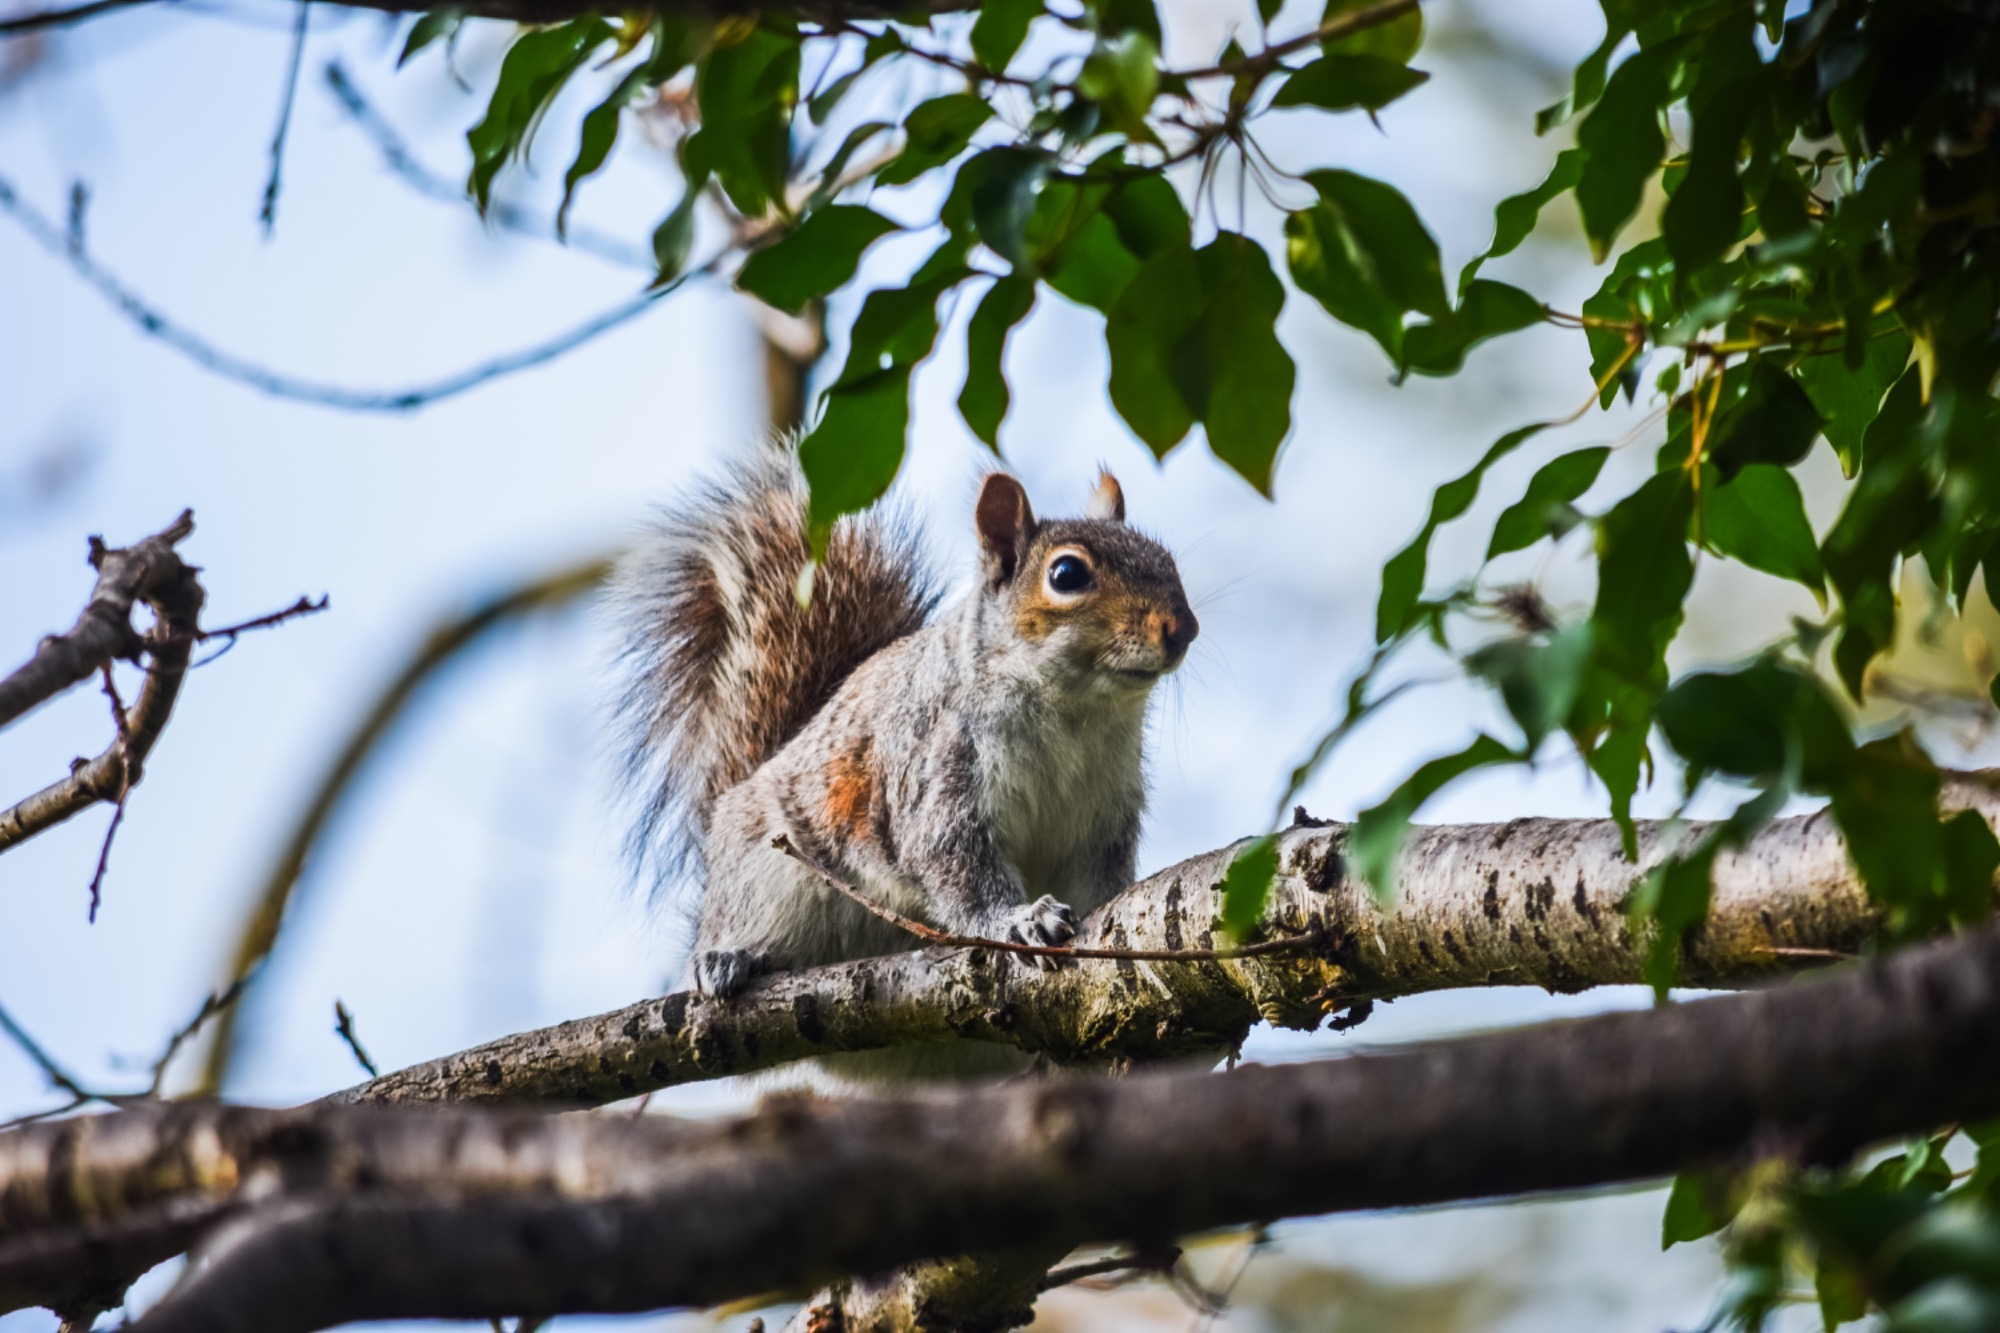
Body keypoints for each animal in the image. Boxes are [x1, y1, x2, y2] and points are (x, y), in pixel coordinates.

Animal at [611, 444, 1198, 1017]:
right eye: (1067, 575)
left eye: (1167, 560)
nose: (1184, 627)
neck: (1078, 714)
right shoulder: (938, 772)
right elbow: (956, 867)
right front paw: (1020, 920)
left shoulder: (1105, 816)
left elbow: (1101, 881)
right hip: (761, 872)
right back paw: (726, 956)